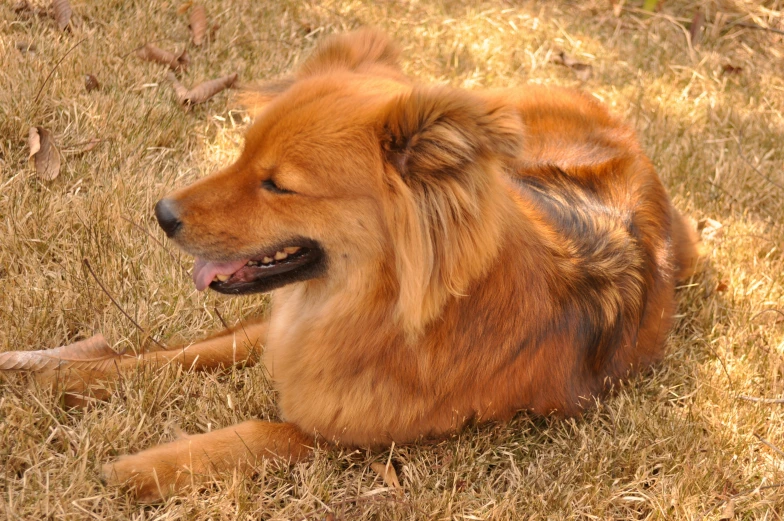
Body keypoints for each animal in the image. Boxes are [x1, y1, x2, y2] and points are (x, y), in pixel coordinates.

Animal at [81, 28, 700, 500]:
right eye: (241, 154)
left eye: (278, 185)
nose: (162, 213)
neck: (382, 309)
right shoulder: (282, 327)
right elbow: (187, 352)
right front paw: (72, 377)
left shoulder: (349, 436)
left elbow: (259, 433)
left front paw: (141, 468)